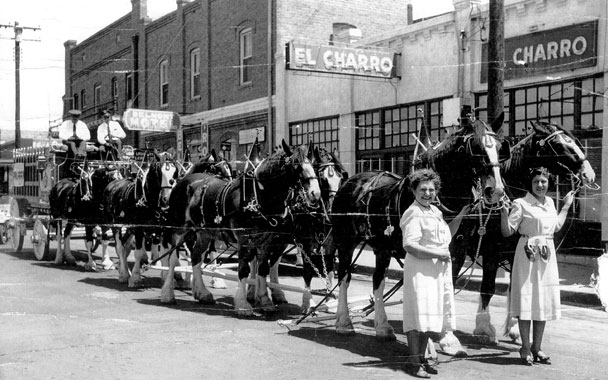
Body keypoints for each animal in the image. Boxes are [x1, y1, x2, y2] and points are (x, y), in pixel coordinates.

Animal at [328, 114, 508, 342]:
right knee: (344, 276)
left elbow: (447, 288)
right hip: (346, 241)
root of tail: (350, 181)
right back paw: (343, 321)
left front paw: (445, 335)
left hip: (382, 247)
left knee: (378, 280)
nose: (497, 190)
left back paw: (383, 326)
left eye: (501, 147)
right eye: (475, 147)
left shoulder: (456, 252)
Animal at [452, 120, 600, 342]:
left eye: (574, 140)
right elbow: (488, 287)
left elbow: (516, 286)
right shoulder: (491, 250)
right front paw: (484, 327)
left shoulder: (515, 250)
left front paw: (514, 327)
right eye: (558, 144)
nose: (588, 173)